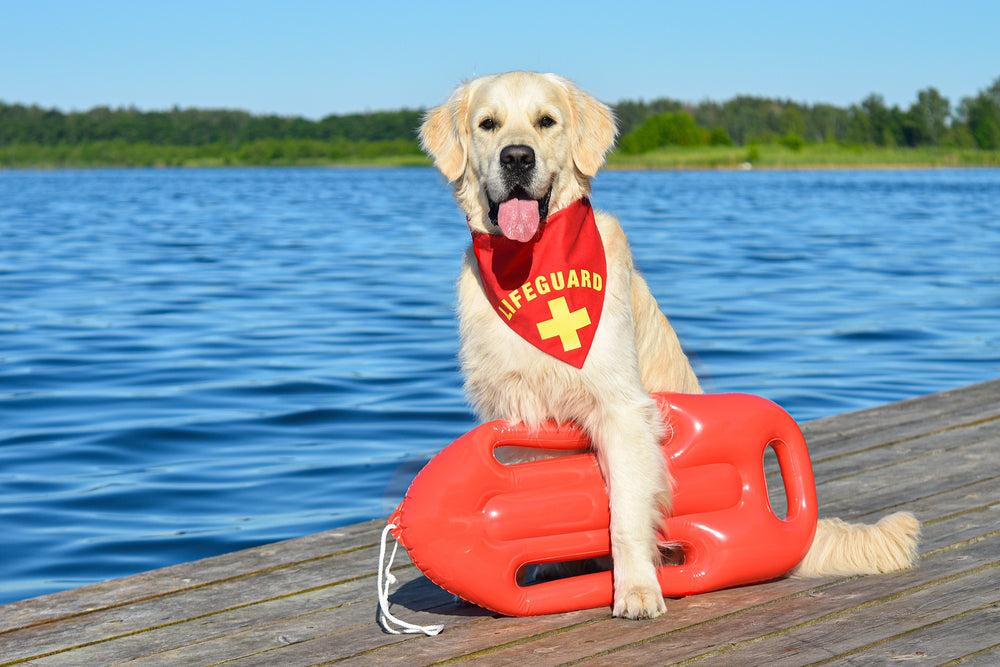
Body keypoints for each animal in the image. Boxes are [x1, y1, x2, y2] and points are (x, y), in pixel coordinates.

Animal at [418, 70, 916, 620]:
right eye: (488, 124)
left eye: (546, 121)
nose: (517, 158)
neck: (529, 267)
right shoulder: (520, 411)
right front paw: (545, 567)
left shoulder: (622, 409)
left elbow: (625, 516)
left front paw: (636, 589)